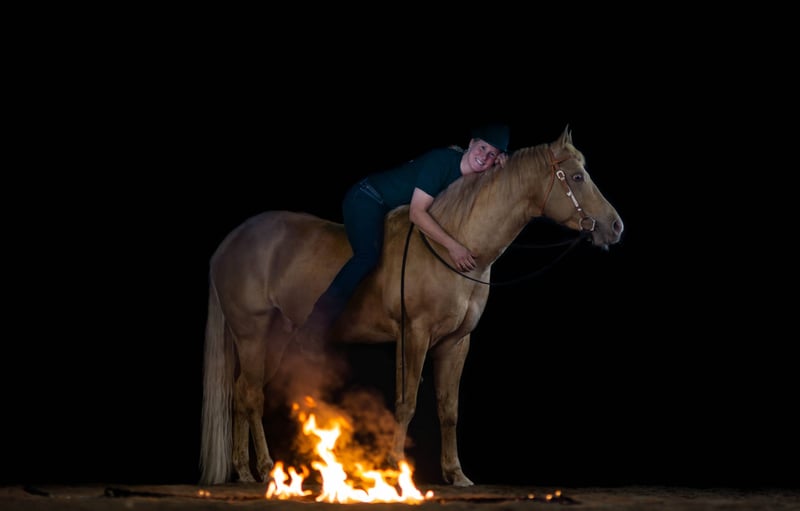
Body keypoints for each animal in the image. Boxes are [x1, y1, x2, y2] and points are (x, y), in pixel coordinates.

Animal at [199, 126, 624, 487]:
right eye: (577, 177)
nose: (616, 227)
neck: (451, 244)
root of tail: (227, 244)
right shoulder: (414, 334)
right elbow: (406, 403)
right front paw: (393, 468)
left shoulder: (456, 343)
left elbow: (448, 409)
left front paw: (456, 474)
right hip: (252, 334)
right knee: (251, 395)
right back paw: (265, 467)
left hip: (274, 338)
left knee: (244, 392)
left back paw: (246, 471)